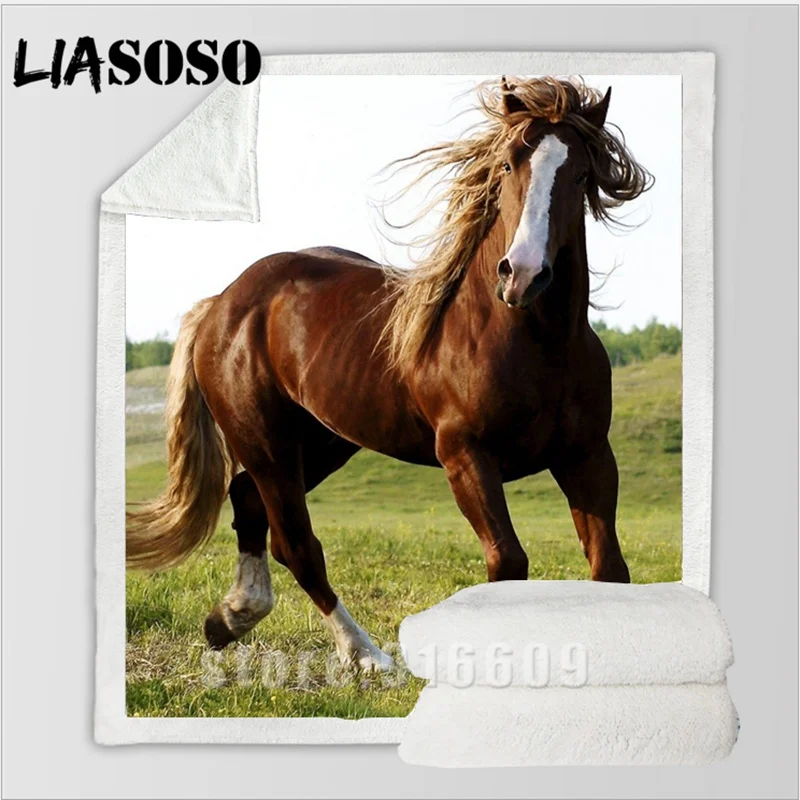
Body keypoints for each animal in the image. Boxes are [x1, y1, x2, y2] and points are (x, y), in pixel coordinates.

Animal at [127, 76, 652, 671]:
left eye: (582, 173)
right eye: (508, 164)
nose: (522, 275)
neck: (534, 342)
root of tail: (223, 303)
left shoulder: (587, 456)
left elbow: (609, 567)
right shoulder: (466, 457)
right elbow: (507, 562)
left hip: (322, 443)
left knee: (248, 504)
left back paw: (230, 618)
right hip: (267, 445)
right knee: (297, 545)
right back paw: (365, 656)